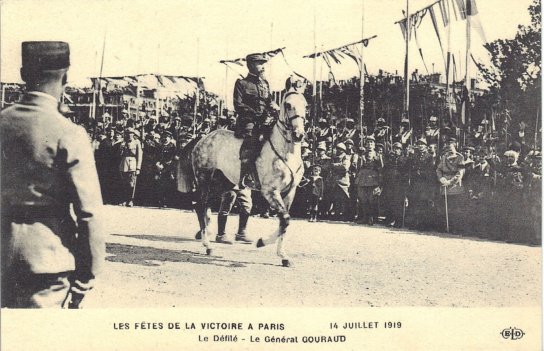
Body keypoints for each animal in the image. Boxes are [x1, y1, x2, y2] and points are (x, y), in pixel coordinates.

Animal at [178, 81, 306, 266]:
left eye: (306, 105)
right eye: (288, 105)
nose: (298, 134)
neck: (286, 152)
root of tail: (202, 138)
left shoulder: (290, 192)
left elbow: (284, 222)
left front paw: (283, 256)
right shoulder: (270, 191)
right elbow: (285, 219)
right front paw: (262, 243)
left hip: (222, 183)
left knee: (203, 206)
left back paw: (205, 238)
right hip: (204, 180)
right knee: (201, 206)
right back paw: (208, 245)